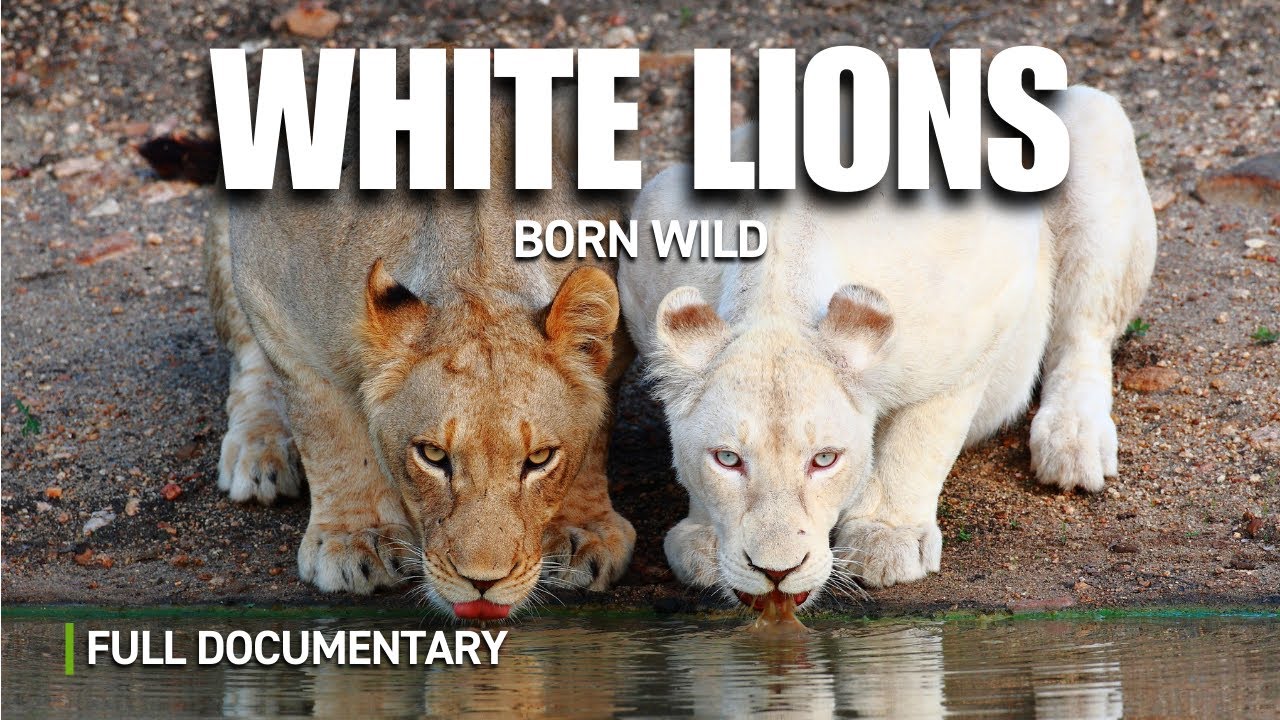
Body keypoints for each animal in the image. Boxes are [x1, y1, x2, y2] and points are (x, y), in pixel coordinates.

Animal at [203, 83, 635, 619]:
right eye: (432, 455)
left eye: (539, 459)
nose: (483, 583)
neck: (477, 272)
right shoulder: (276, 304)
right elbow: (328, 431)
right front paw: (356, 537)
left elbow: (593, 439)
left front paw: (580, 531)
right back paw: (258, 450)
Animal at [620, 86, 1156, 609]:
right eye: (728, 459)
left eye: (825, 459)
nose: (776, 573)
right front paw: (703, 540)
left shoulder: (986, 308)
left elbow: (922, 438)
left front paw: (885, 537)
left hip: (1093, 124)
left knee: (1083, 334)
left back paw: (1074, 443)